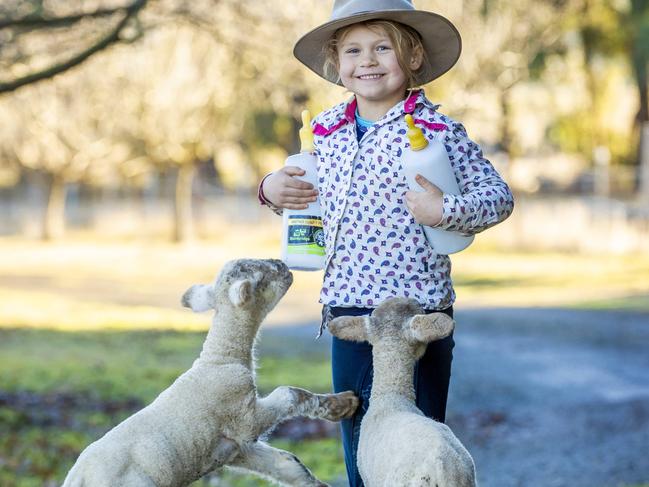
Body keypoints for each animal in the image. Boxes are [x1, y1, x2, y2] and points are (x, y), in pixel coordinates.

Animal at [62, 262, 360, 487]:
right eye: (262, 276)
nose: (285, 266)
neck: (220, 359)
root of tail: (76, 479)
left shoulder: (235, 447)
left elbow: (289, 464)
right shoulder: (244, 417)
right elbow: (289, 394)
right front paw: (344, 404)